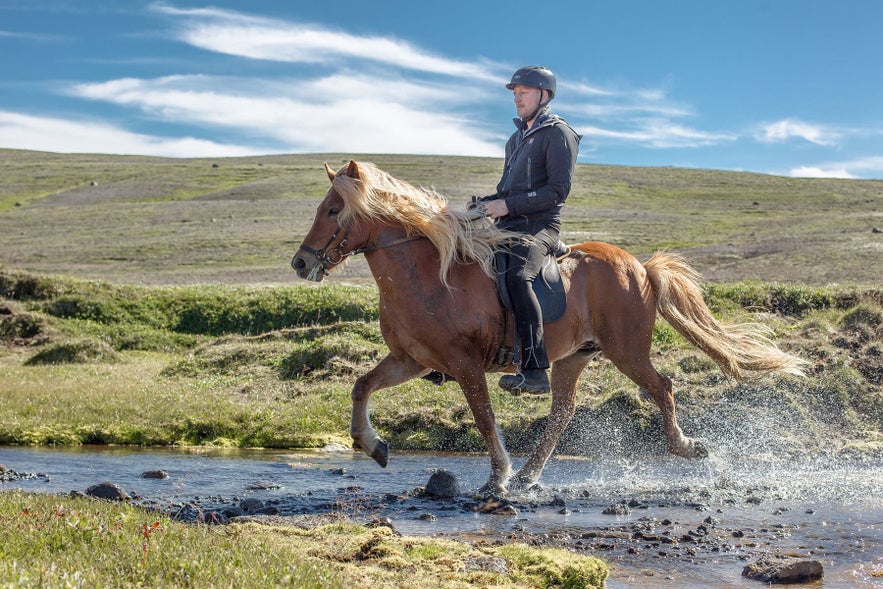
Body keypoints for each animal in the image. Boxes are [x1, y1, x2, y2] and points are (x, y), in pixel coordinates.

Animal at [291, 160, 806, 493]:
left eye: (334, 209)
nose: (300, 262)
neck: (428, 273)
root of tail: (641, 266)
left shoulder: (463, 364)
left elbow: (484, 419)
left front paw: (496, 475)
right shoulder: (411, 360)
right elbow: (361, 385)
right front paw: (373, 445)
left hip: (627, 350)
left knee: (661, 386)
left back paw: (685, 447)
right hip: (576, 356)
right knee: (564, 411)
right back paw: (529, 475)